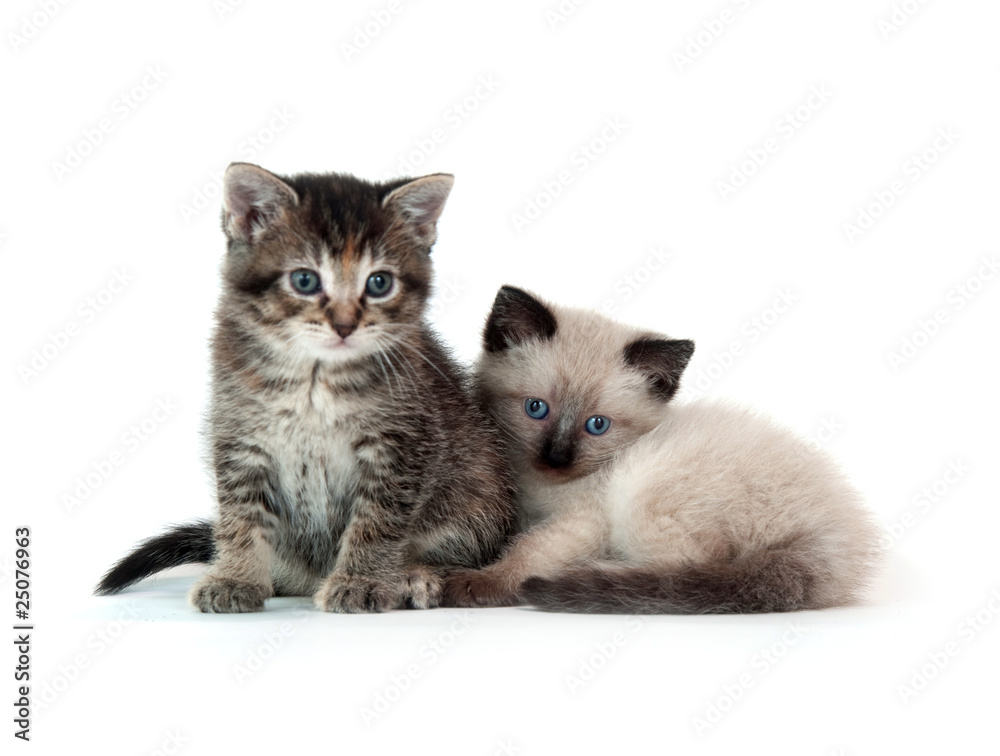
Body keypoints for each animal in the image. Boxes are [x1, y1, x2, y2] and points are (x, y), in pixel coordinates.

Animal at [95, 162, 516, 612]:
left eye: (379, 283)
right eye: (304, 279)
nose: (345, 325)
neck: (315, 380)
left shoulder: (402, 446)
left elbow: (377, 522)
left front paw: (362, 581)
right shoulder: (240, 440)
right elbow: (239, 517)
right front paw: (235, 577)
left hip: (477, 490)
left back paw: (415, 575)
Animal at [442, 286, 880, 612]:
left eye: (597, 425)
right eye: (536, 408)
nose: (557, 458)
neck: (540, 487)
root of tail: (833, 540)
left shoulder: (585, 519)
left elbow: (530, 549)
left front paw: (481, 581)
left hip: (644, 492)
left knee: (692, 568)